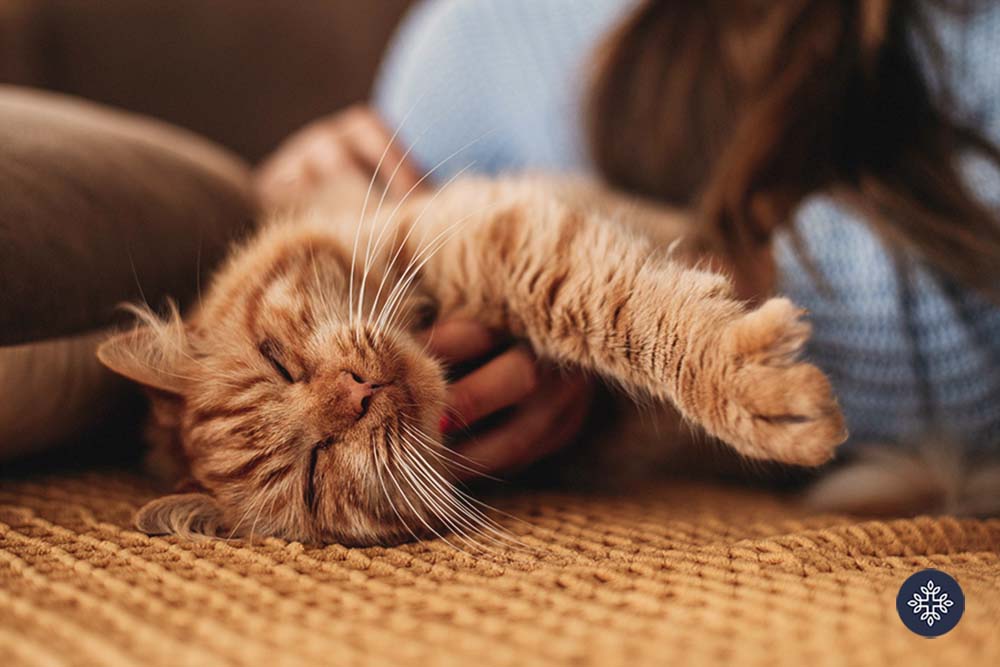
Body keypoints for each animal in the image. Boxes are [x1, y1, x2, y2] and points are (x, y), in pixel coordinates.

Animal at [97, 175, 848, 544]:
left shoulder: (488, 233)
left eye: (278, 360)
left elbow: (623, 308)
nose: (358, 391)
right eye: (313, 472)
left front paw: (746, 386)